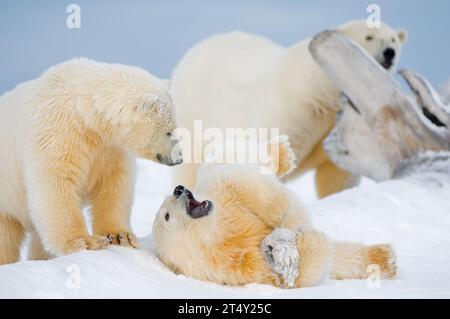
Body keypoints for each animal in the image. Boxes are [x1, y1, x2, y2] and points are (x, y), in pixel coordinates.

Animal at [0, 58, 183, 264]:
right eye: (169, 131)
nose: (179, 158)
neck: (83, 113)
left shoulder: (109, 148)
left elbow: (115, 184)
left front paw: (120, 236)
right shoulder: (56, 133)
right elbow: (56, 185)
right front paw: (85, 242)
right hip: (5, 198)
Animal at [153, 139, 396, 288]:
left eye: (166, 207)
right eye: (166, 215)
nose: (179, 189)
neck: (219, 235)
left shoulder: (221, 195)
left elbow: (245, 183)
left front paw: (284, 224)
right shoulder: (243, 267)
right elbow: (301, 274)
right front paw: (289, 251)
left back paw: (282, 153)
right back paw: (386, 259)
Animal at [170, 19, 408, 198]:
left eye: (393, 39)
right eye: (368, 37)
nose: (390, 53)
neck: (320, 90)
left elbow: (336, 173)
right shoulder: (292, 105)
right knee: (190, 166)